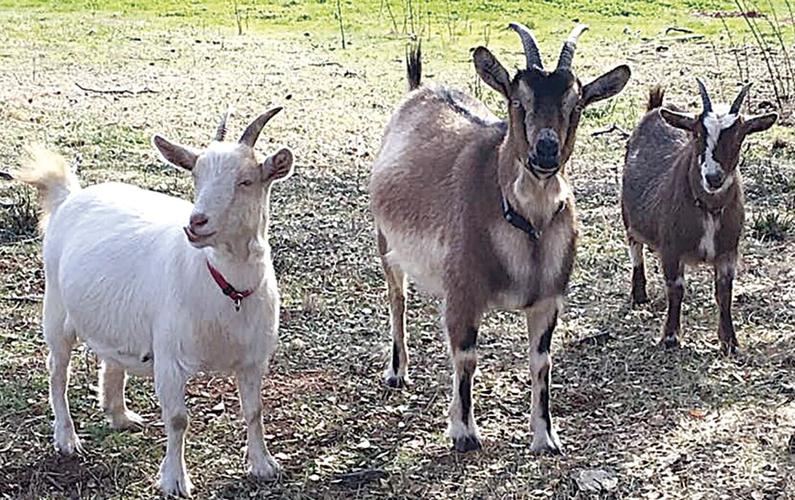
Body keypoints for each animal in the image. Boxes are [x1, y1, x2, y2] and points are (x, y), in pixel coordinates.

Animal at [7, 109, 294, 497]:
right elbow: (177, 419)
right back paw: (66, 439)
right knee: (57, 370)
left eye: (246, 181)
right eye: (196, 175)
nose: (196, 222)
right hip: (55, 309)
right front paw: (174, 480)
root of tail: (71, 196)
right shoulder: (171, 358)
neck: (226, 289)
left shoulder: (253, 359)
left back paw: (119, 414)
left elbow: (254, 410)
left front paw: (263, 465)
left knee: (111, 358)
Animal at [369, 24, 631, 453]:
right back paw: (396, 371)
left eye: (576, 105)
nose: (546, 150)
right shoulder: (464, 293)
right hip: (385, 241)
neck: (527, 224)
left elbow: (542, 363)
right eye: (517, 101)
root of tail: (420, 89)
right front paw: (464, 432)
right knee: (397, 298)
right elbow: (465, 357)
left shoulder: (547, 300)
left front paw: (545, 437)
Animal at [622, 80, 777, 355]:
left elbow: (724, 292)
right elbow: (676, 288)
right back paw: (639, 295)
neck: (709, 208)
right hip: (628, 217)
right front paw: (671, 337)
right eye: (696, 134)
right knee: (635, 248)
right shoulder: (671, 249)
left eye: (739, 136)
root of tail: (656, 108)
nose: (713, 178)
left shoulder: (728, 252)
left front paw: (729, 342)